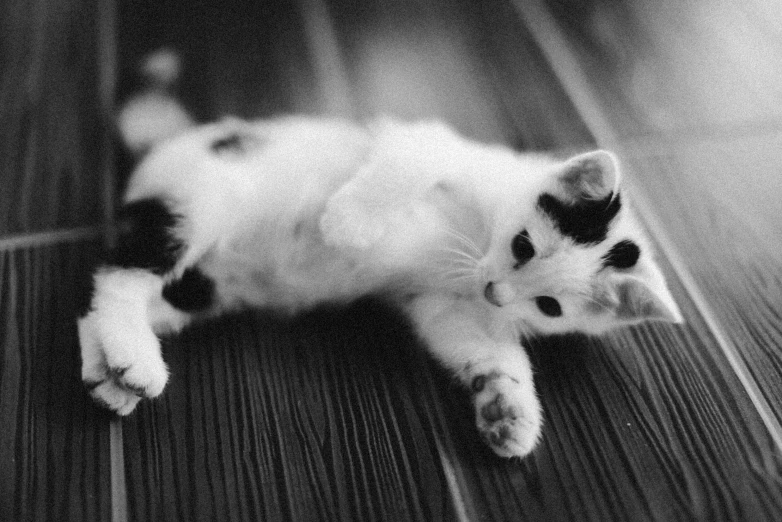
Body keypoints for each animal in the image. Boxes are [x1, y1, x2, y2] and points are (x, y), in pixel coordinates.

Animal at [76, 52, 684, 458]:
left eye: (550, 307)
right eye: (523, 245)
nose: (496, 291)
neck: (476, 235)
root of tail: (169, 143)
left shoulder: (445, 303)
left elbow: (486, 347)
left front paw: (507, 411)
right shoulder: (426, 141)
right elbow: (405, 165)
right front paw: (347, 224)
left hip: (206, 285)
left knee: (106, 305)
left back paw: (110, 375)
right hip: (202, 204)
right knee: (120, 274)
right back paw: (136, 358)